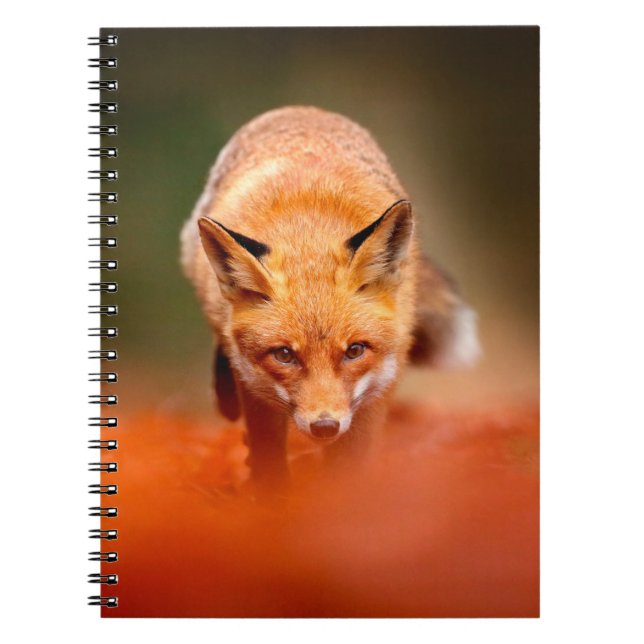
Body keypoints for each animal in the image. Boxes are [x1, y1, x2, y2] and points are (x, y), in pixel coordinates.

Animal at [181, 106, 480, 491]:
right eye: (284, 355)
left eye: (355, 351)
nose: (325, 426)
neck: (309, 233)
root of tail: (304, 109)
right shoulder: (256, 387)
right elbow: (267, 456)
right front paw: (271, 496)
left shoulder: (377, 388)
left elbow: (348, 468)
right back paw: (225, 395)